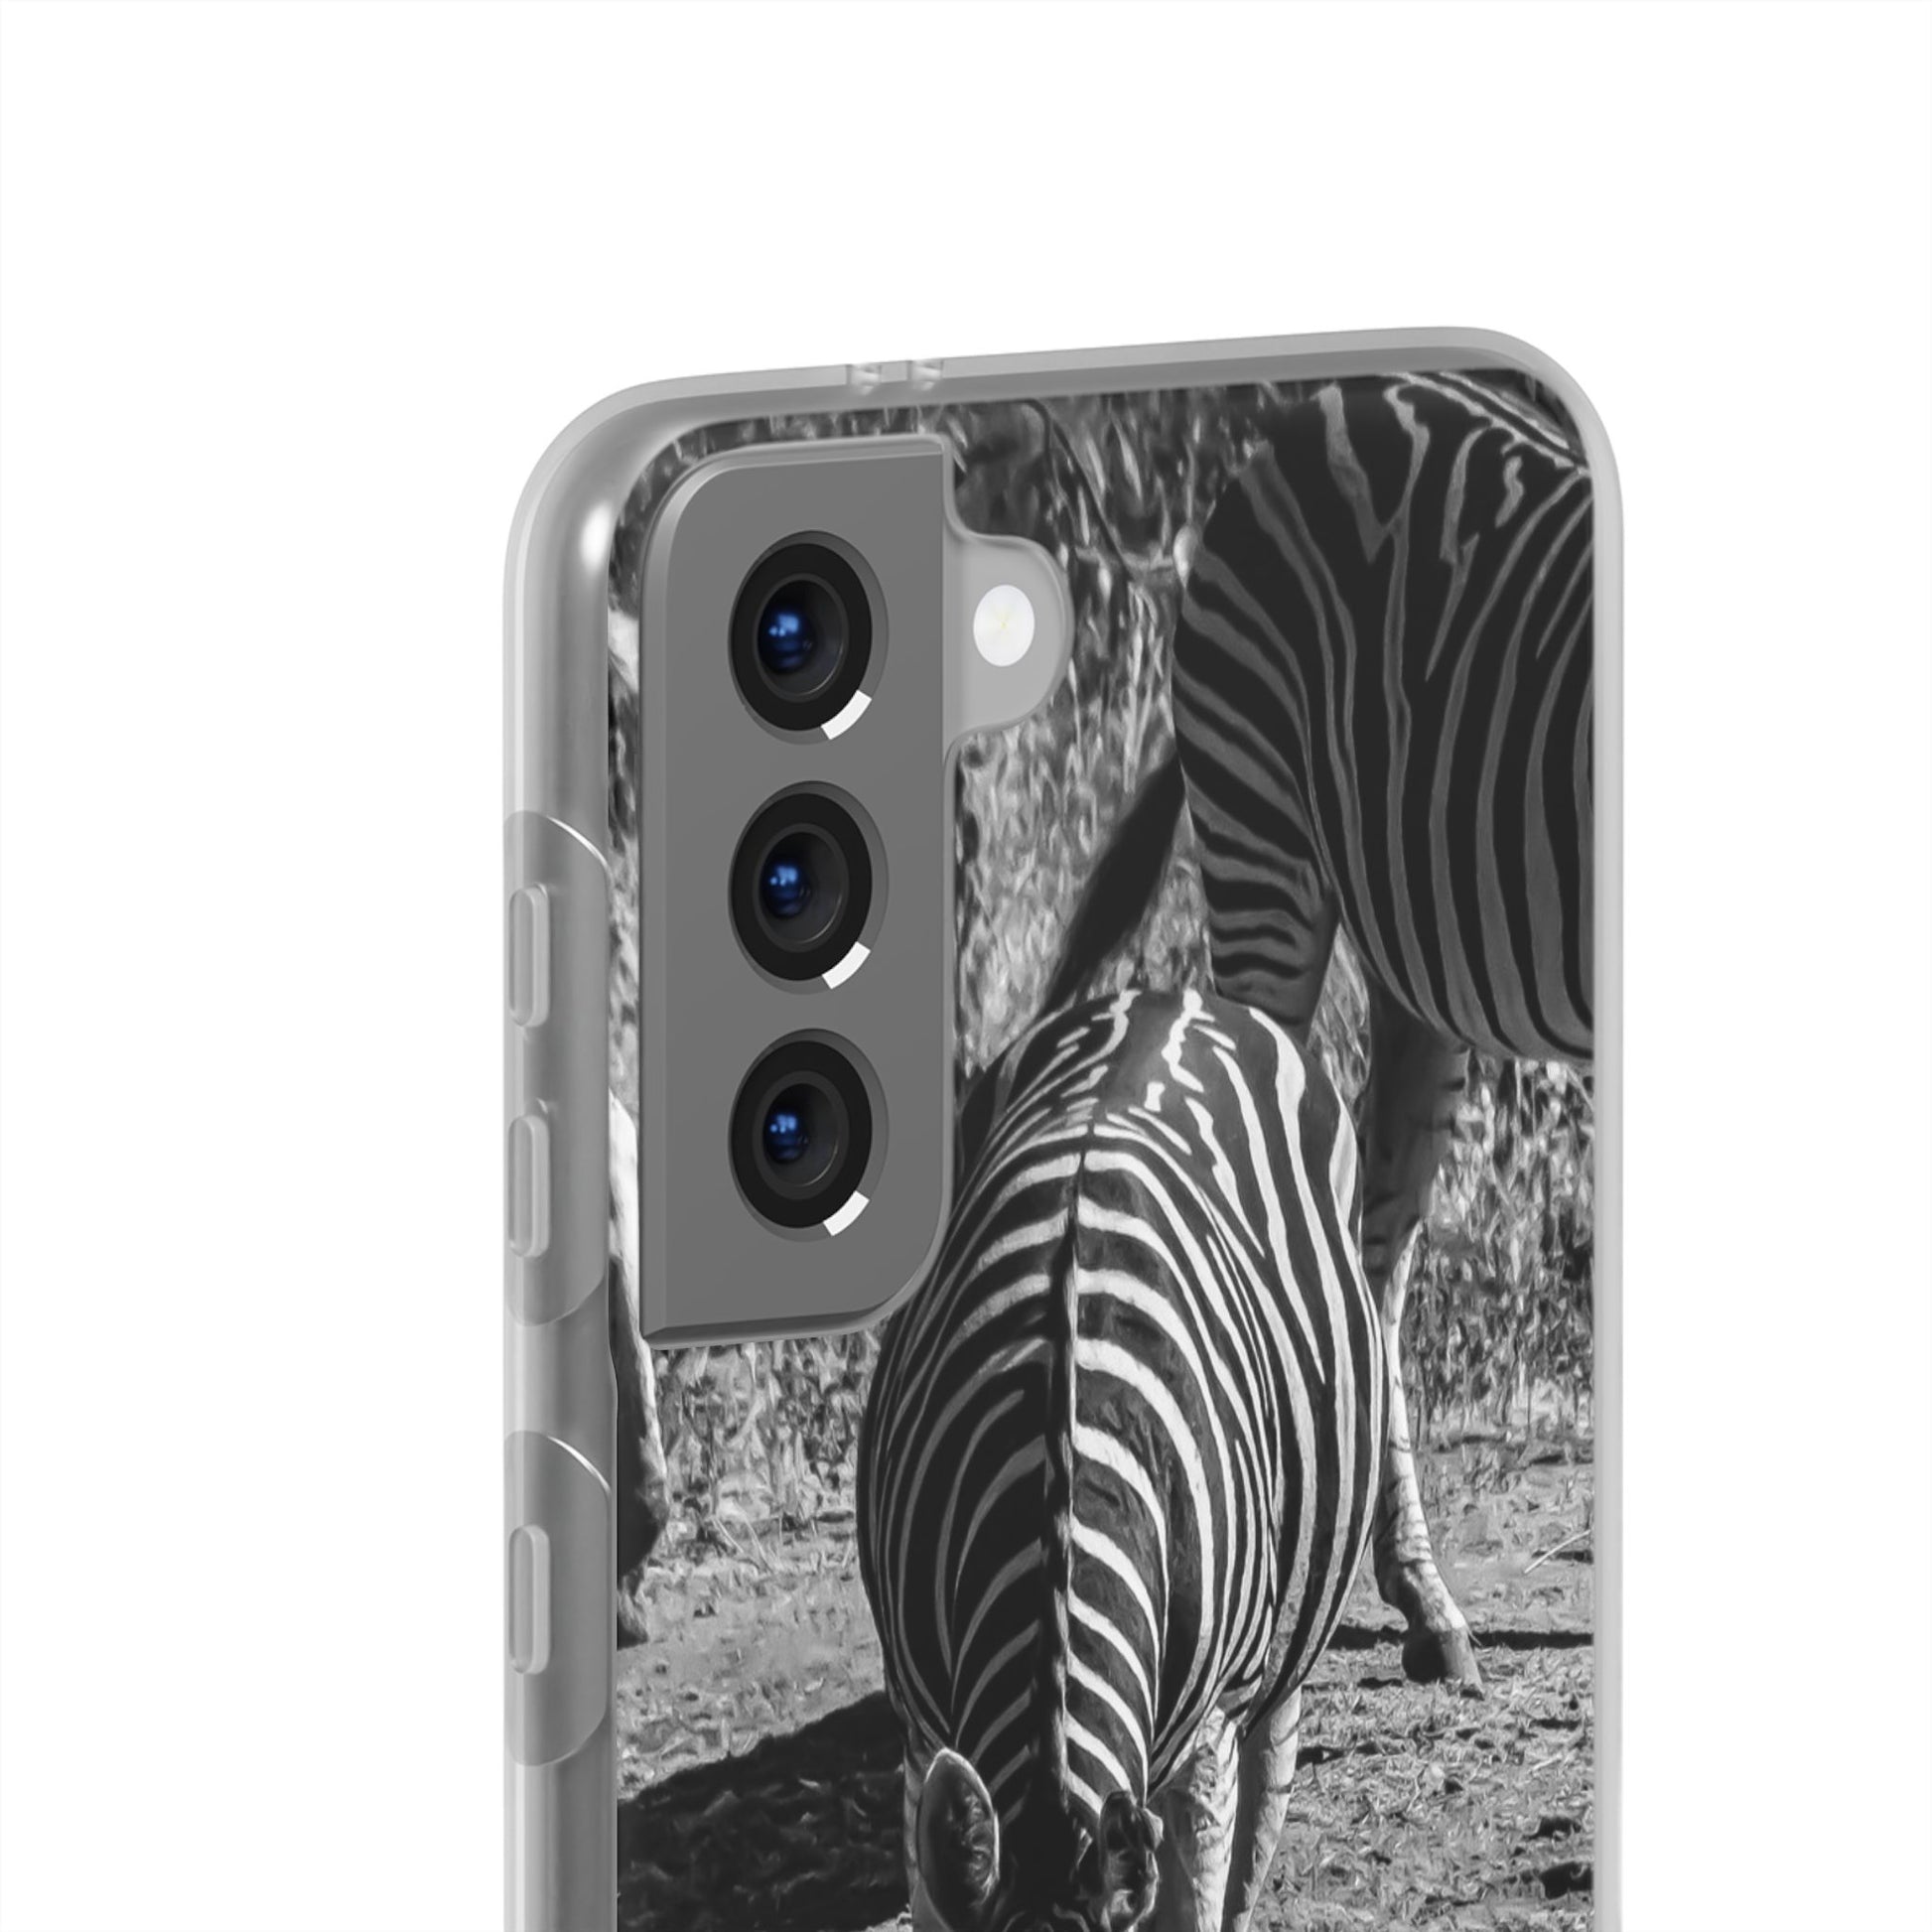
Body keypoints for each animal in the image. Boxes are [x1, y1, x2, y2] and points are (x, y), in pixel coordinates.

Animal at [859, 987, 1383, 1932]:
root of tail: (1170, 996)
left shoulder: (1207, 1742)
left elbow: (1194, 1895)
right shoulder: (919, 1727)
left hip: (1278, 1650)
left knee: (1267, 1785)